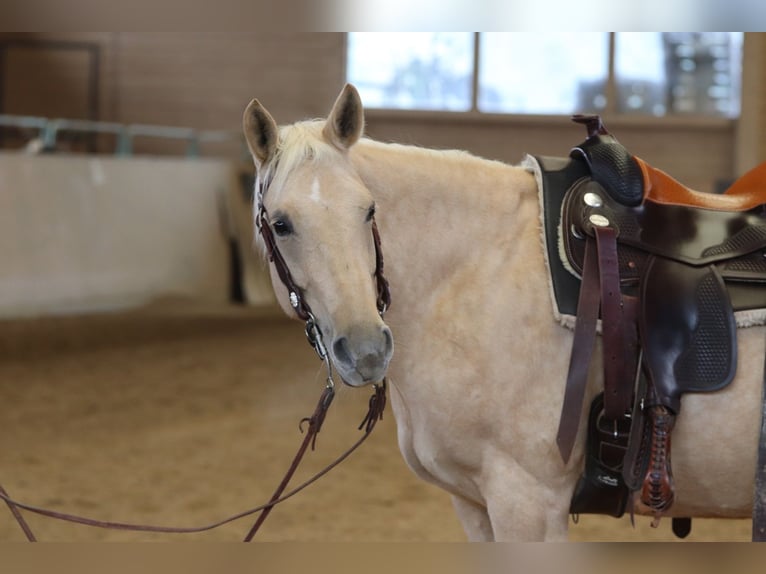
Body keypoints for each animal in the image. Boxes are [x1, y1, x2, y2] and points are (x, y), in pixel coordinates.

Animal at [244, 83, 760, 544]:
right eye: (281, 224)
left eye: (368, 210)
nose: (367, 349)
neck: (474, 269)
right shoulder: (474, 504)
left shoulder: (527, 501)